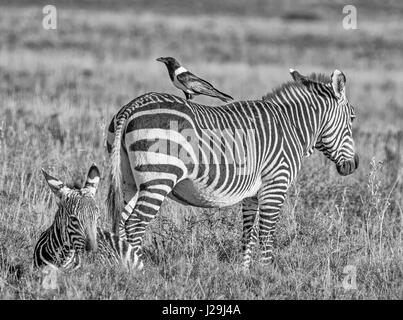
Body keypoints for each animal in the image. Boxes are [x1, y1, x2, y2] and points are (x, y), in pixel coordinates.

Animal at [107, 69, 360, 268]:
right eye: (352, 119)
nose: (354, 165)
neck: (292, 128)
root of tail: (135, 104)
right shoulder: (275, 185)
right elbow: (267, 233)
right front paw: (266, 274)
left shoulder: (252, 195)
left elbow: (248, 233)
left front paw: (246, 273)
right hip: (159, 177)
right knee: (135, 224)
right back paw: (138, 270)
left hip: (128, 179)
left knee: (120, 221)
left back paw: (122, 266)